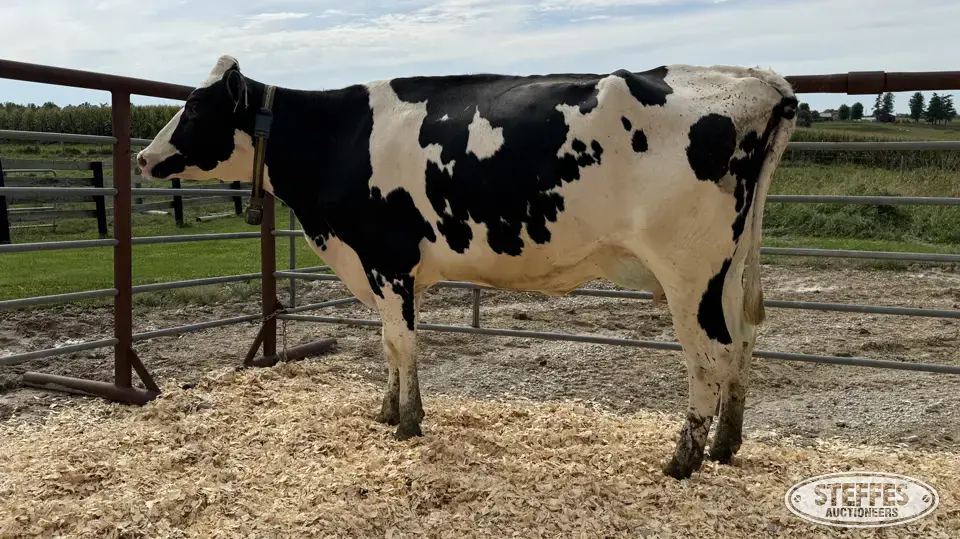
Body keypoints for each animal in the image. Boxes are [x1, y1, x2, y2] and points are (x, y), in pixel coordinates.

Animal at [137, 55, 797, 480]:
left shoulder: (387, 260)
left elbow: (401, 343)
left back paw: (683, 459)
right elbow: (390, 343)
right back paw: (725, 446)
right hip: (728, 268)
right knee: (742, 343)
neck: (337, 138)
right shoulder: (390, 270)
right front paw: (391, 410)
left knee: (708, 356)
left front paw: (406, 424)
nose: (143, 157)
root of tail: (756, 79)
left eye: (194, 107)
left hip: (688, 271)